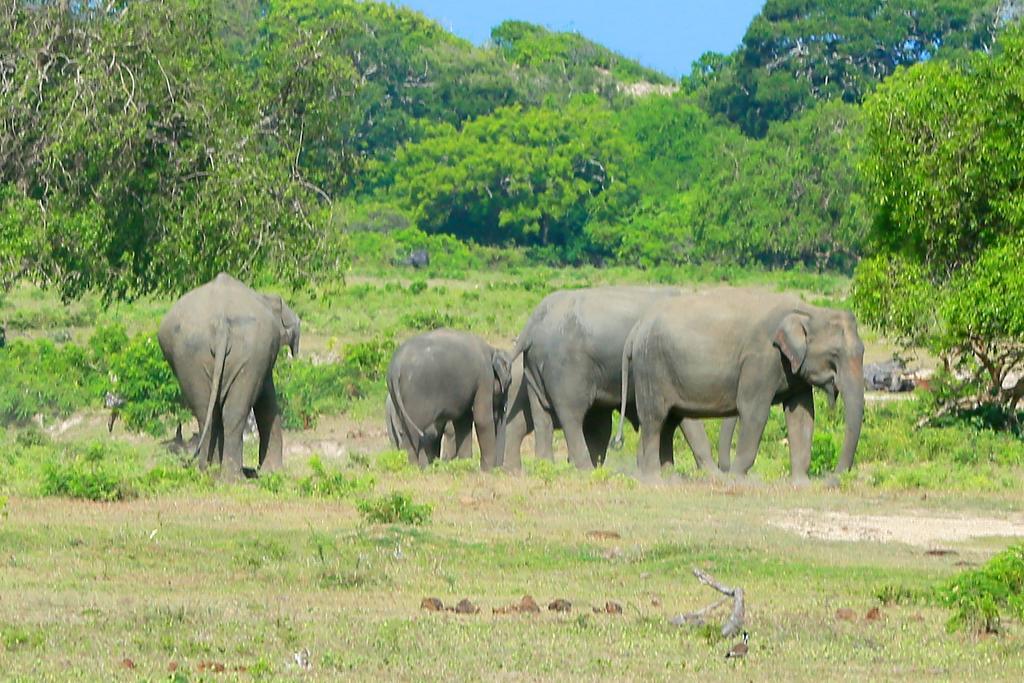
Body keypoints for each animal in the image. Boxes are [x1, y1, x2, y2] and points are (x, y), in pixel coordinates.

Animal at [156, 274, 299, 481]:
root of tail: (221, 322)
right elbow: (267, 401)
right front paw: (272, 473)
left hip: (193, 355)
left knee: (208, 412)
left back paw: (211, 474)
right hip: (247, 353)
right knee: (233, 413)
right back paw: (233, 479)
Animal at [385, 329, 512, 471]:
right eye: (509, 382)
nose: (499, 468)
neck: (492, 350)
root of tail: (396, 368)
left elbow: (464, 420)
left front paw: (465, 463)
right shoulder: (484, 377)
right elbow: (482, 419)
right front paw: (486, 471)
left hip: (396, 396)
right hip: (416, 394)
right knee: (412, 433)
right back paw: (414, 468)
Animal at [503, 286, 720, 473]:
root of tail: (532, 323)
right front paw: (714, 475)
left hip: (534, 369)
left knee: (542, 416)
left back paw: (545, 467)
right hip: (566, 368)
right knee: (571, 414)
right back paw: (585, 470)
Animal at [614, 288, 864, 485]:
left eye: (862, 351)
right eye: (834, 355)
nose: (832, 479)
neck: (808, 311)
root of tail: (636, 329)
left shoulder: (794, 371)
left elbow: (802, 416)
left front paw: (801, 485)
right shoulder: (760, 359)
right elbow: (754, 411)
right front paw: (738, 479)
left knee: (669, 421)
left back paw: (670, 479)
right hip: (651, 368)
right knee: (654, 419)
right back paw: (653, 480)